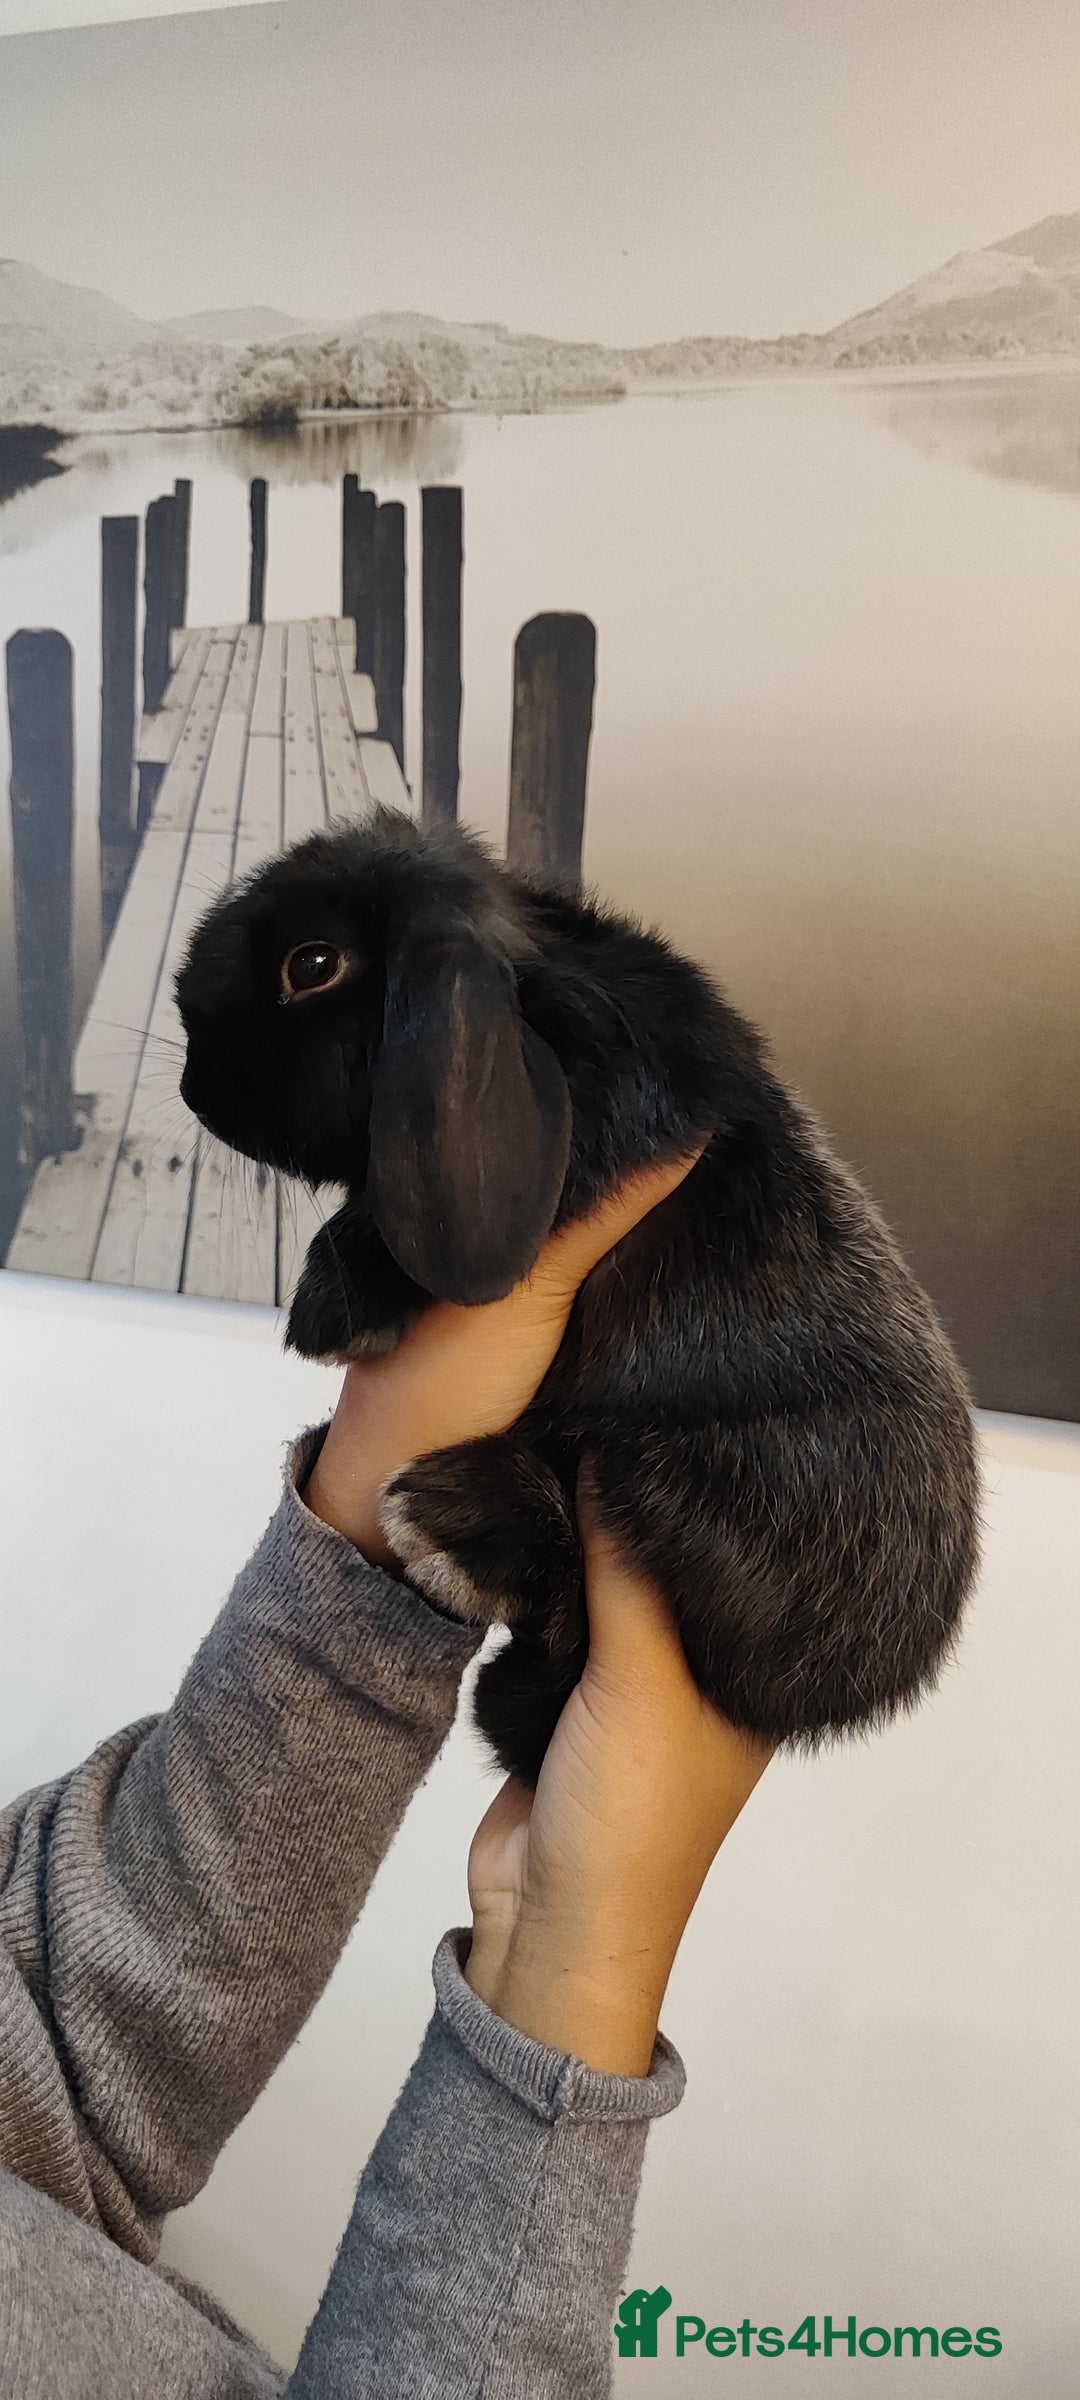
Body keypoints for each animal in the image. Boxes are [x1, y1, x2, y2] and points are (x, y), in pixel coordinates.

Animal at [176, 806, 981, 1786]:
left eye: (314, 963)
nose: (196, 1089)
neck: (541, 987)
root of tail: (828, 1700)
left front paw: (329, 1311)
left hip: (665, 1476)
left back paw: (458, 1521)